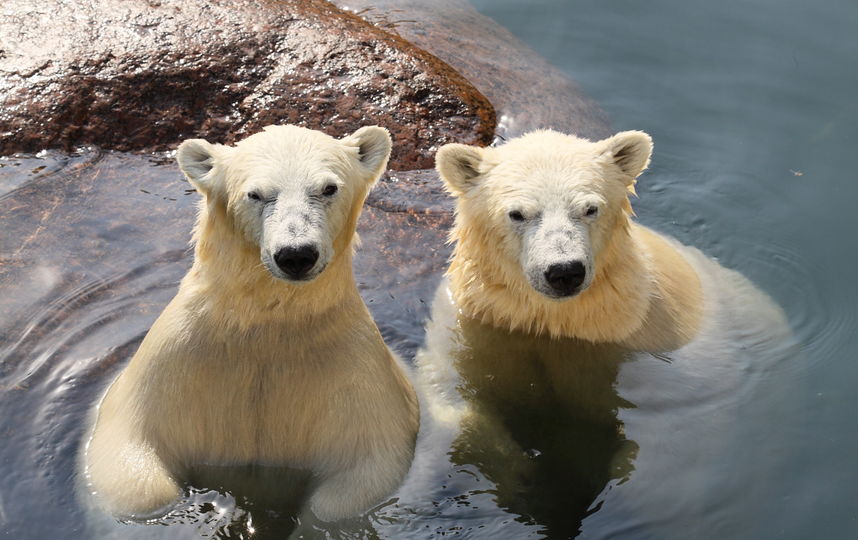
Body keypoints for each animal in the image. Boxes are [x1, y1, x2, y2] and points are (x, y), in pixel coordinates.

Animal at [85, 123, 420, 524]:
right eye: (256, 194)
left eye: (328, 188)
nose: (296, 255)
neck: (266, 328)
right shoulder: (174, 366)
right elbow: (135, 478)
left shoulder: (354, 376)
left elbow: (355, 479)